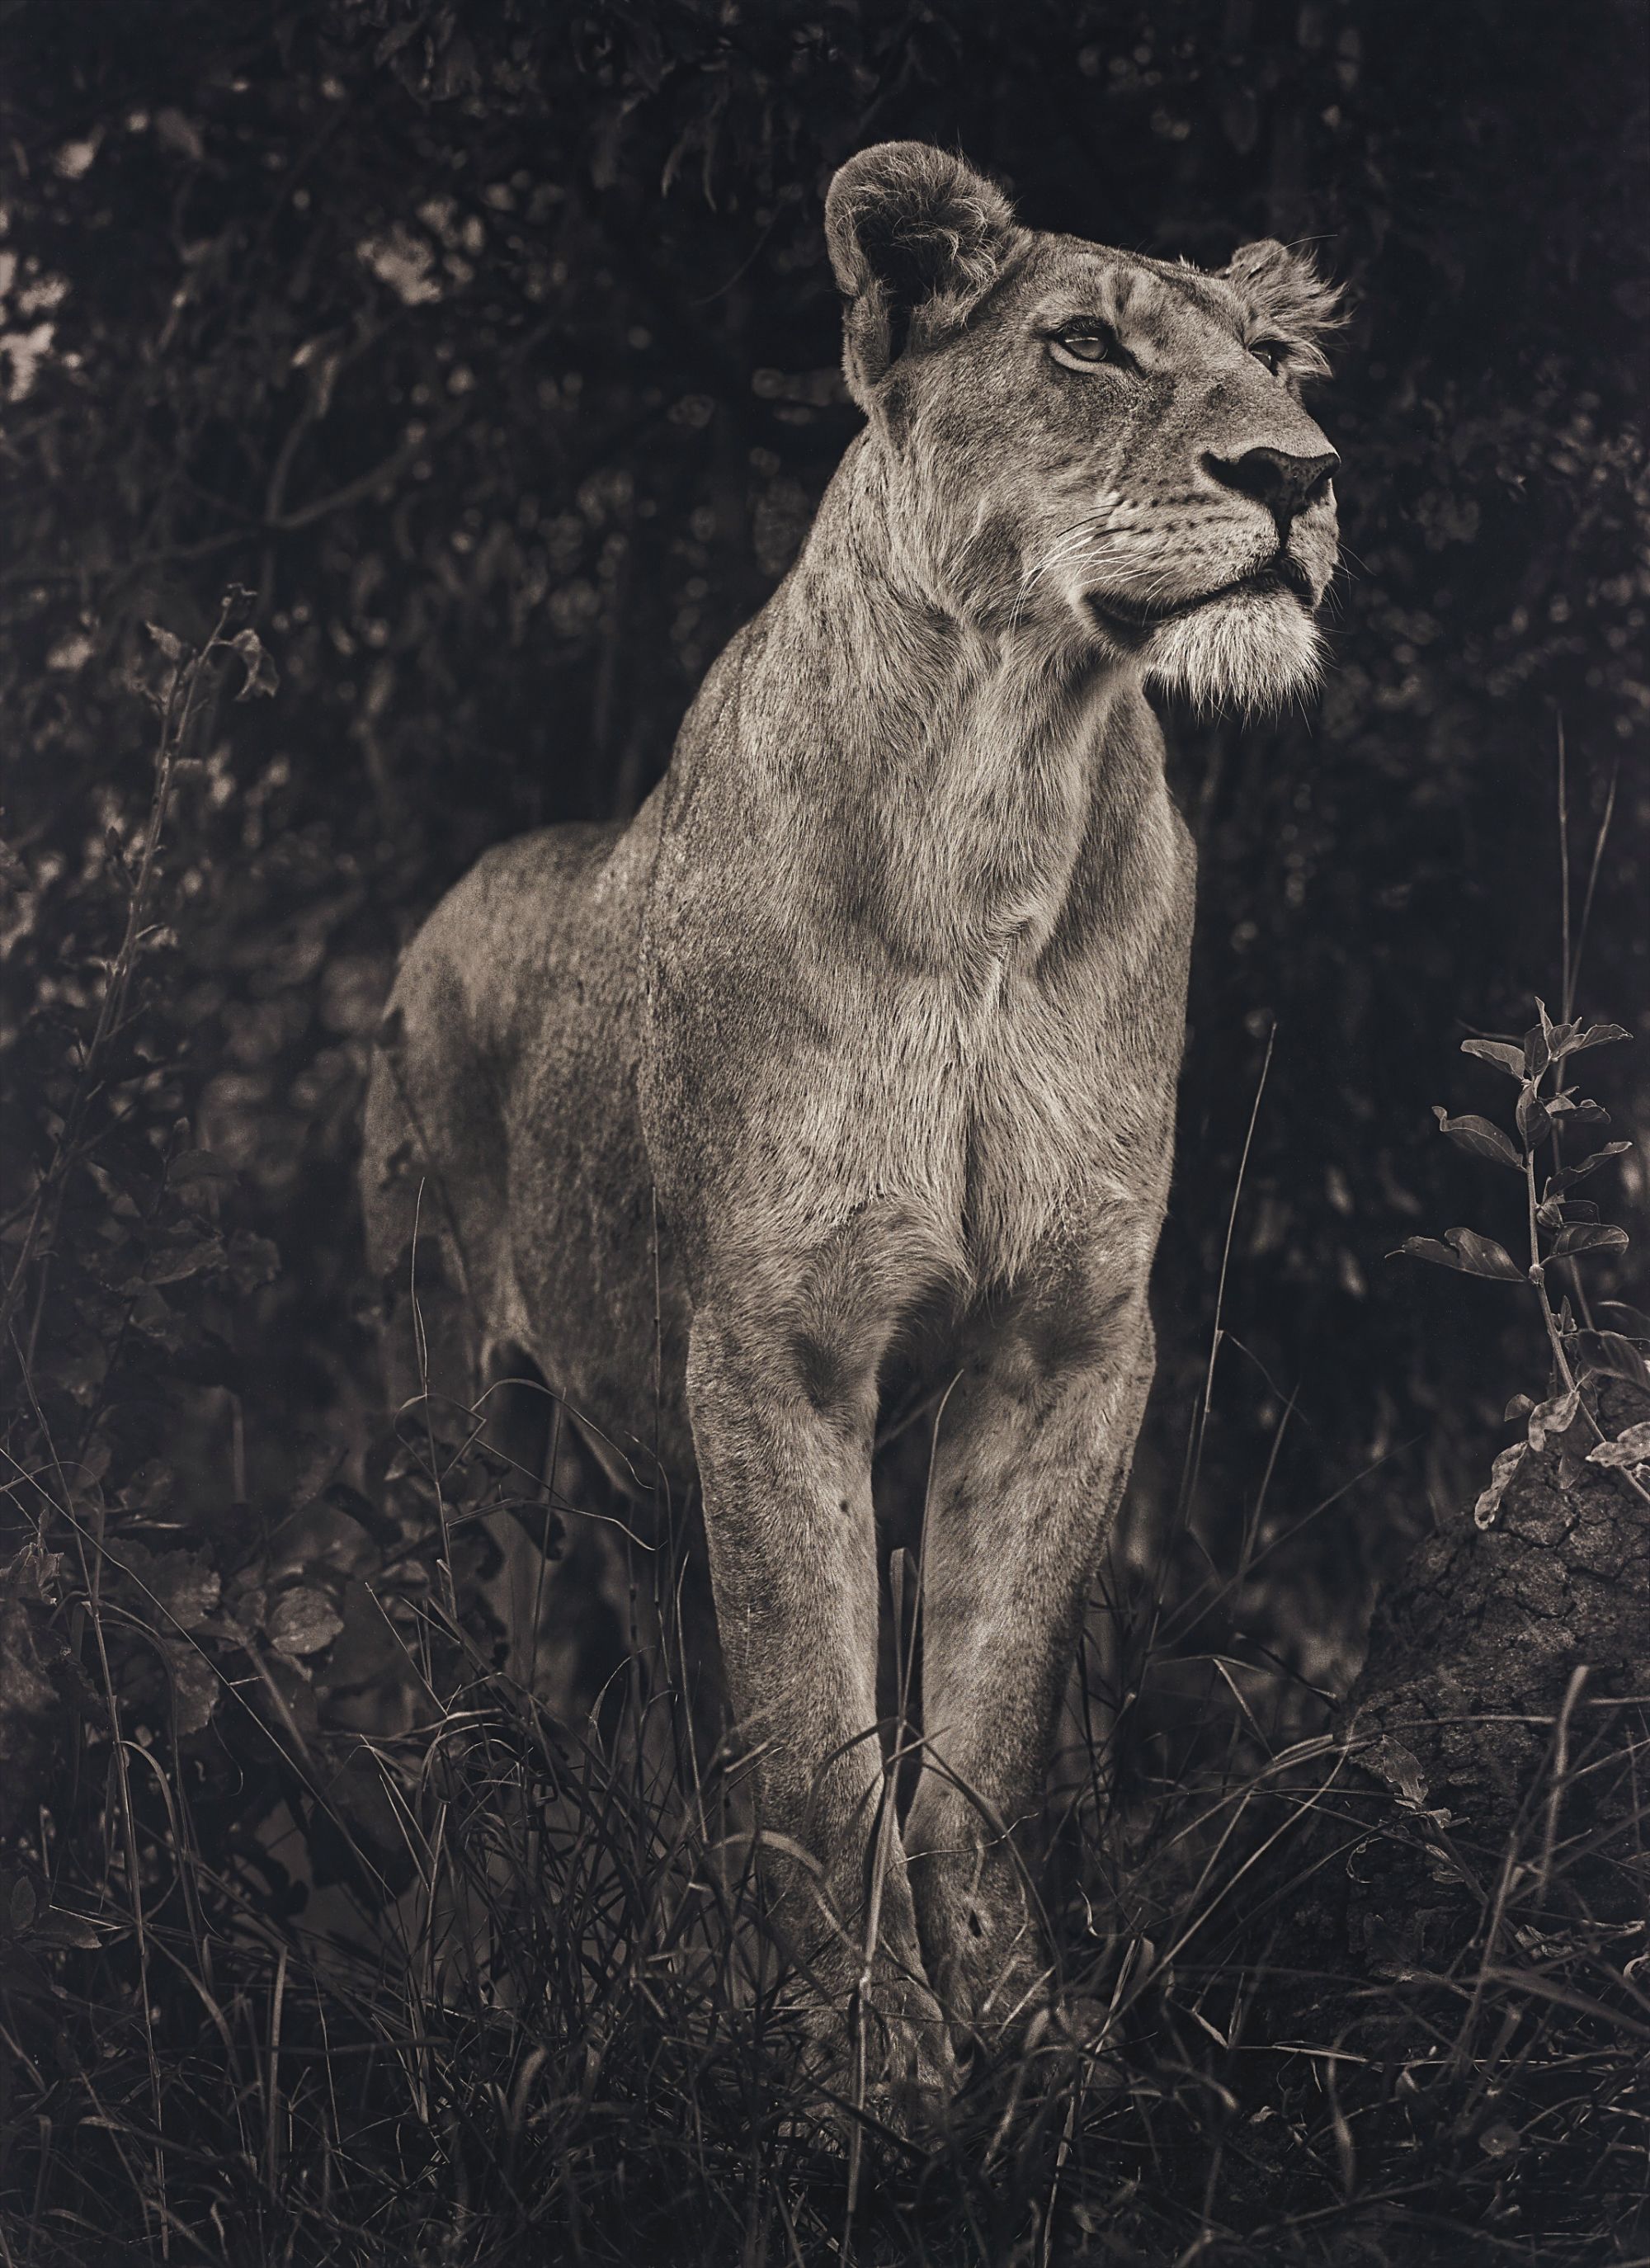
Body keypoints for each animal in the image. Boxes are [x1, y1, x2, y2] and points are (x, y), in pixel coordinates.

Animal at [361, 141, 1341, 2118]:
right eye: (1085, 345)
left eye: (1277, 357)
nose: (1297, 475)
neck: (1007, 789)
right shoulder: (778, 1340)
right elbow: (819, 1735)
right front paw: (868, 2073)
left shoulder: (1067, 1342)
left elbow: (974, 1730)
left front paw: (1028, 2043)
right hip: (457, 1432)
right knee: (472, 1713)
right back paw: (470, 1978)